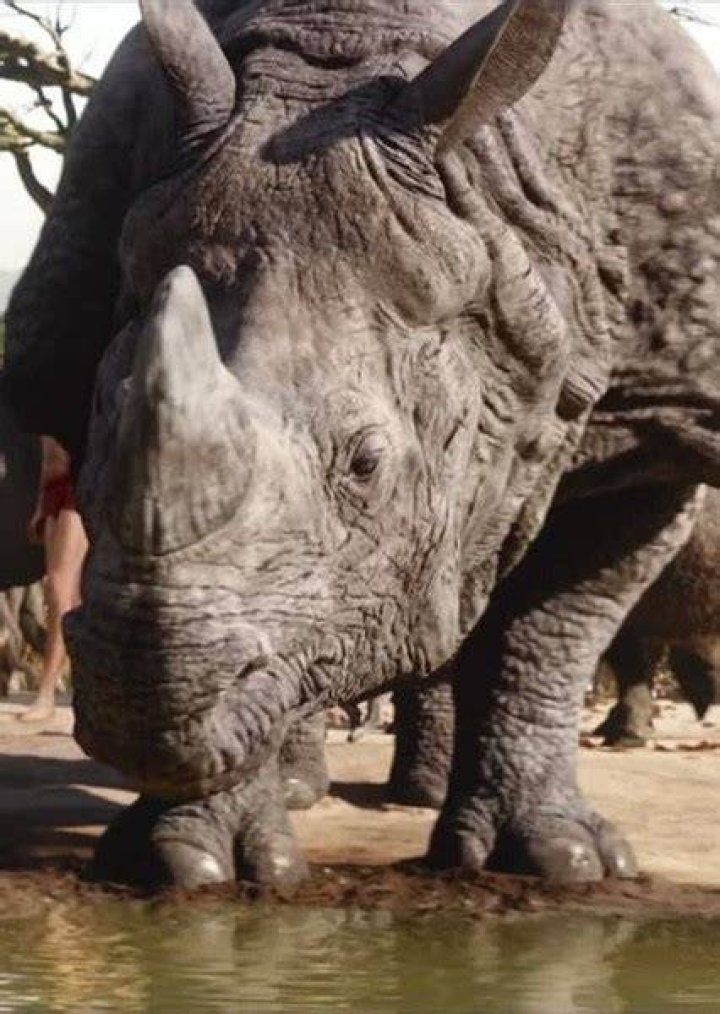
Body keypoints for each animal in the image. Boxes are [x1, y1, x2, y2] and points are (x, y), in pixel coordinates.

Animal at [3, 0, 720, 890]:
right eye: (104, 432)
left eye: (368, 465)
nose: (142, 692)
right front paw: (189, 866)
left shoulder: (660, 423)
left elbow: (559, 622)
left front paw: (560, 861)